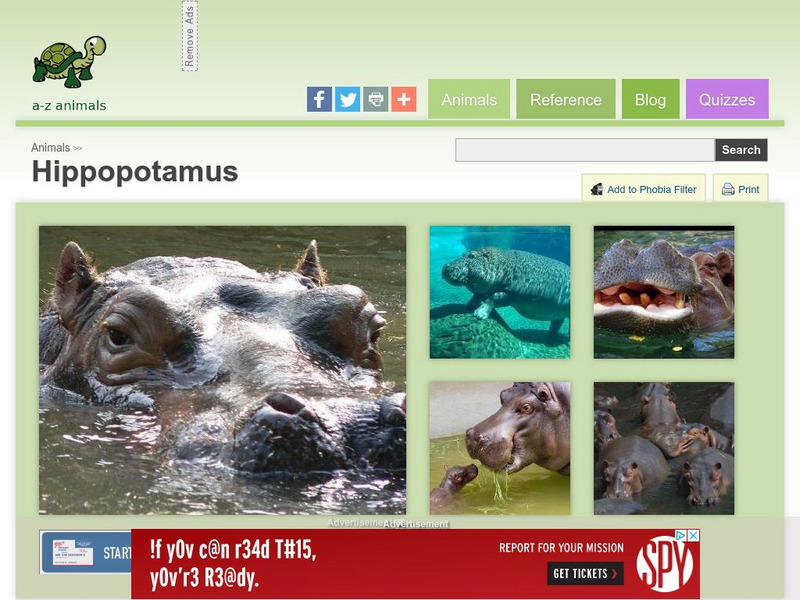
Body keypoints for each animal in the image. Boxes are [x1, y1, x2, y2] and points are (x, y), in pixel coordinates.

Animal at [442, 247, 570, 338]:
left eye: (472, 255)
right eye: (464, 253)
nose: (445, 266)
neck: (500, 265)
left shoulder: (511, 295)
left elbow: (490, 299)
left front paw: (479, 314)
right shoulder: (484, 290)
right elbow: (477, 296)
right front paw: (468, 305)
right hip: (557, 314)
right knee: (558, 321)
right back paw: (549, 336)